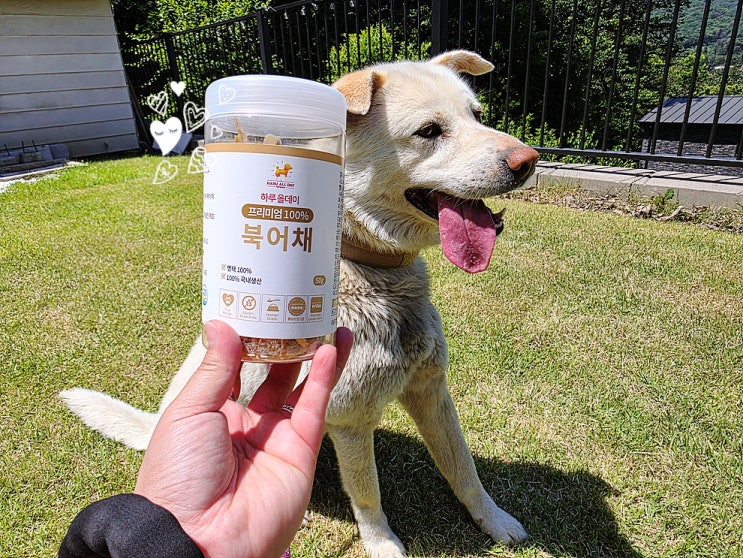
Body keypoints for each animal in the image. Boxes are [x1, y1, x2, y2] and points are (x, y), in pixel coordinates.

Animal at [61, 50, 538, 557]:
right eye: (429, 131)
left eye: (478, 116)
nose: (529, 160)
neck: (372, 269)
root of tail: (154, 428)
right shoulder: (350, 419)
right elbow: (368, 495)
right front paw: (383, 545)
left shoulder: (431, 390)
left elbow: (464, 468)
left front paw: (495, 520)